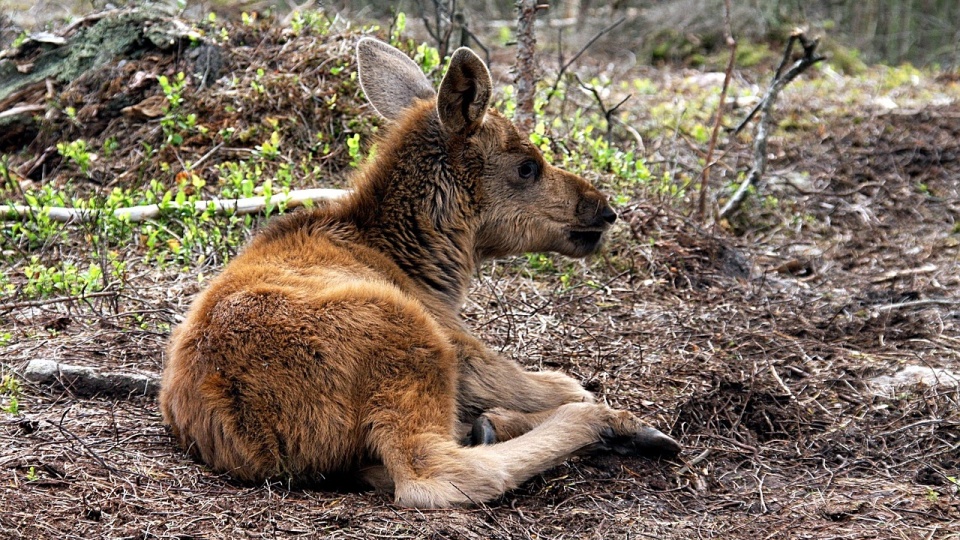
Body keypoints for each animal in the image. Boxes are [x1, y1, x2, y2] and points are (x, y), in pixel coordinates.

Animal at [159, 37, 684, 506]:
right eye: (527, 166)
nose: (604, 210)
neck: (432, 268)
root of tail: (247, 426)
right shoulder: (465, 347)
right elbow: (564, 382)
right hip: (410, 338)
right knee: (436, 475)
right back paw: (614, 424)